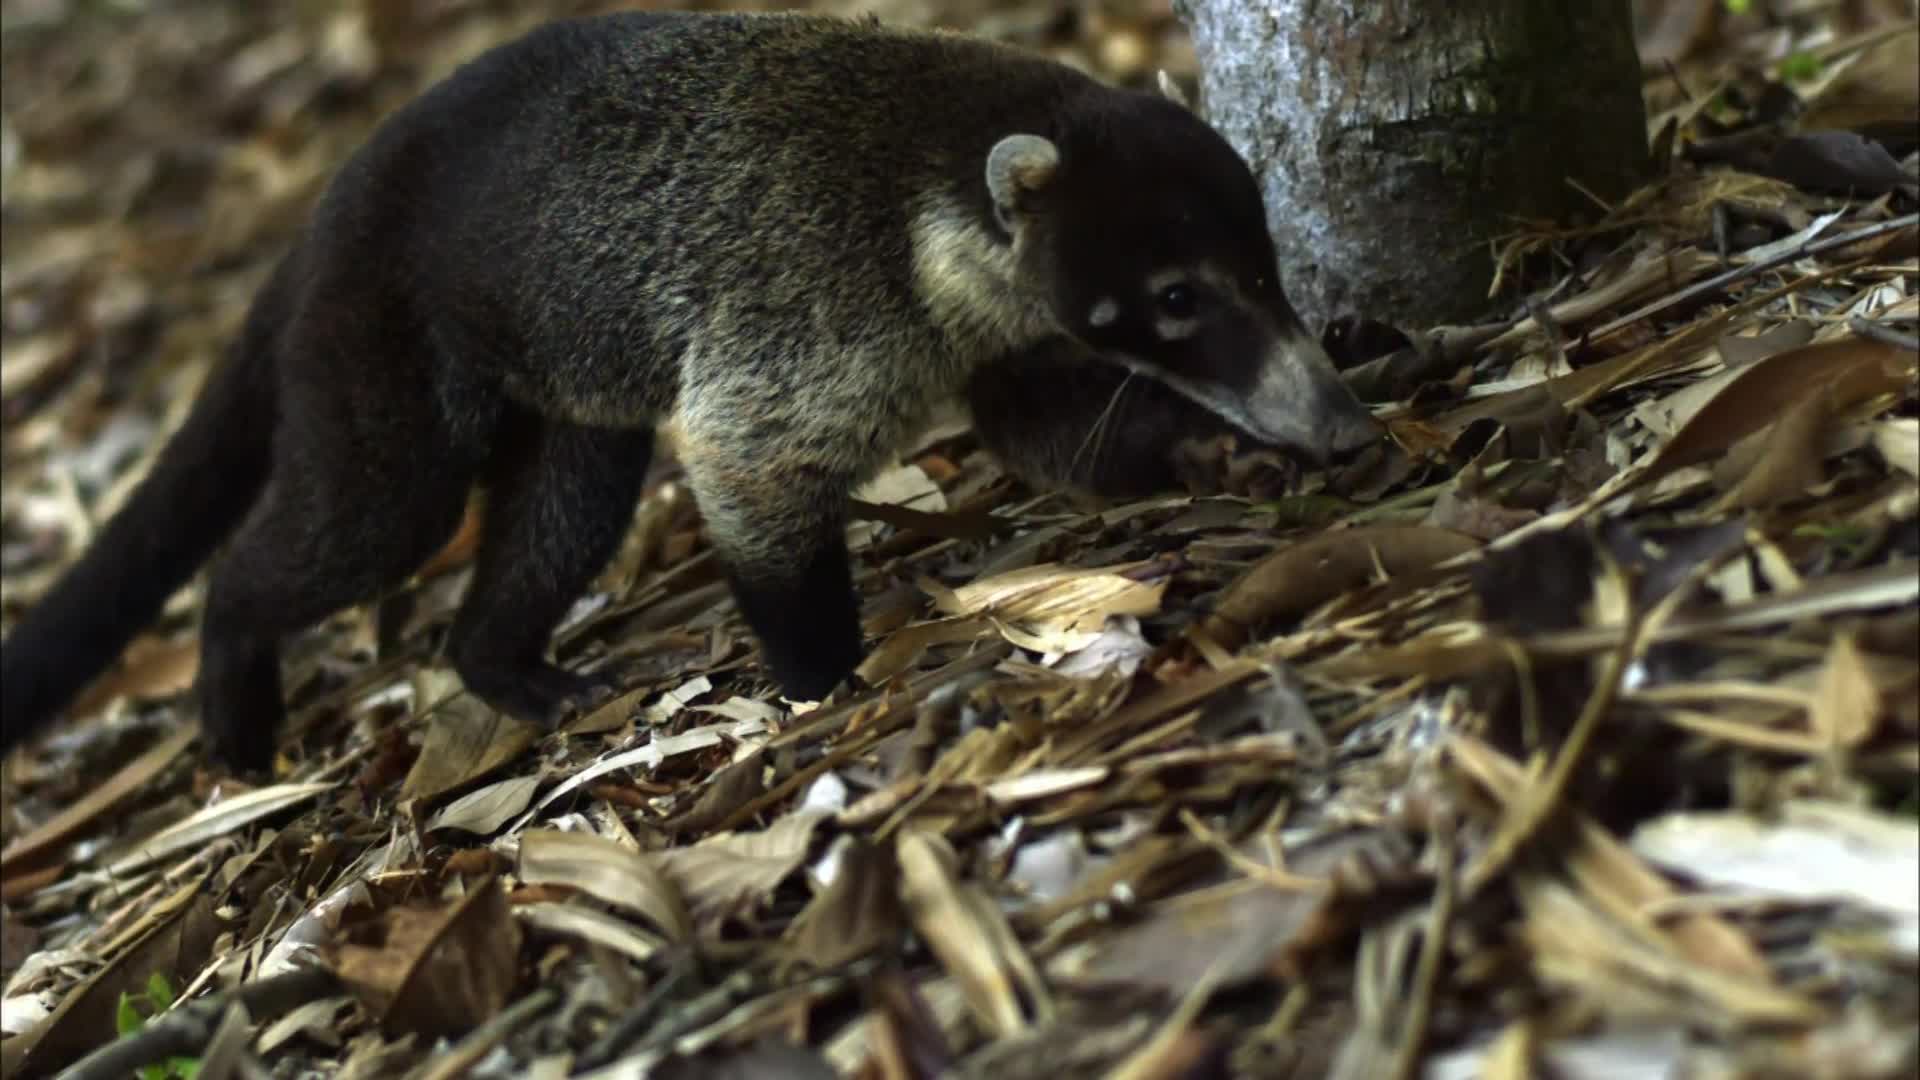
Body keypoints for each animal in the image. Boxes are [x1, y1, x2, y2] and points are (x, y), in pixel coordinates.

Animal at [0, 12, 1382, 771]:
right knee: (356, 521)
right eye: (1174, 299)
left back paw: (501, 663)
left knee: (566, 499)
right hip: (376, 357)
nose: (1341, 421)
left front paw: (1212, 456)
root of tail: (312, 231)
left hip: (562, 379)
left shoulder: (991, 325)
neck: (942, 169)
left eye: (1265, 269)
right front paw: (825, 676)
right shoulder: (813, 306)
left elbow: (1046, 429)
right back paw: (234, 686)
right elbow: (745, 466)